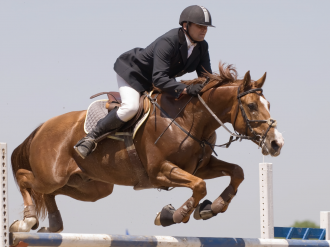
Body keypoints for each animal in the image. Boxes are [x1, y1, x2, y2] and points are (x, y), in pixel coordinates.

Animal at [9, 62, 284, 233]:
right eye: (251, 106)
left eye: (269, 104)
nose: (276, 143)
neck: (190, 120)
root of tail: (41, 128)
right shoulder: (160, 171)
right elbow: (199, 186)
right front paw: (172, 216)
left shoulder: (201, 166)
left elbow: (236, 172)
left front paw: (212, 208)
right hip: (53, 175)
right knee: (25, 177)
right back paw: (27, 221)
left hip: (92, 187)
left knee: (50, 193)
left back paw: (52, 225)